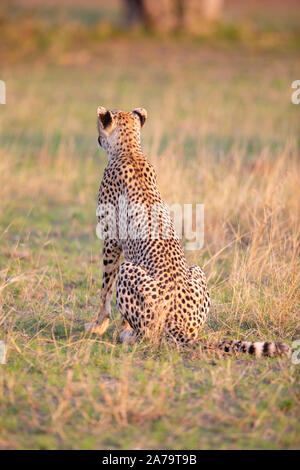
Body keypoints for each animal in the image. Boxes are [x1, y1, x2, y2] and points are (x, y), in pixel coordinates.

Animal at [84, 104, 290, 358]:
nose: (97, 139)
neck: (129, 149)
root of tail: (179, 324)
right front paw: (120, 325)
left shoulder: (110, 239)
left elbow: (105, 288)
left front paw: (98, 326)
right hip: (197, 271)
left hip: (129, 271)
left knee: (150, 335)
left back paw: (130, 337)